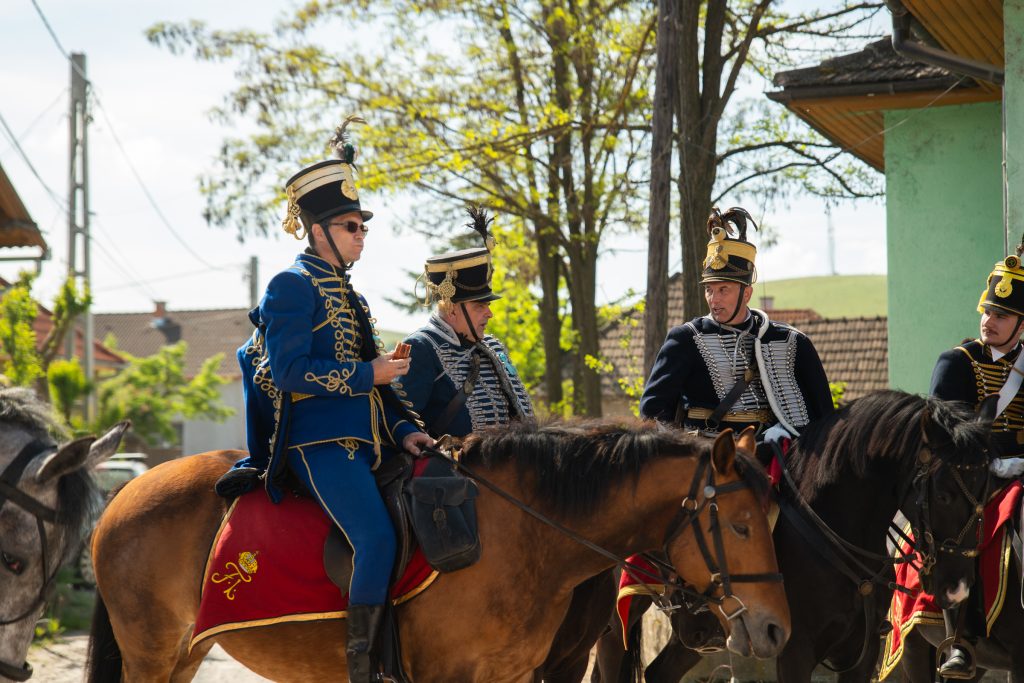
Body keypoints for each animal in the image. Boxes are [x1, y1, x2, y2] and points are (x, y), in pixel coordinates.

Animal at [88, 419, 790, 679]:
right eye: (740, 525)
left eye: (772, 517)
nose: (777, 630)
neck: (523, 531)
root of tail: (121, 497)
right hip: (151, 654)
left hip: (185, 654)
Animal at [589, 389, 995, 683]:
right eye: (943, 494)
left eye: (987, 488)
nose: (958, 587)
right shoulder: (794, 649)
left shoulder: (860, 654)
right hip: (615, 620)